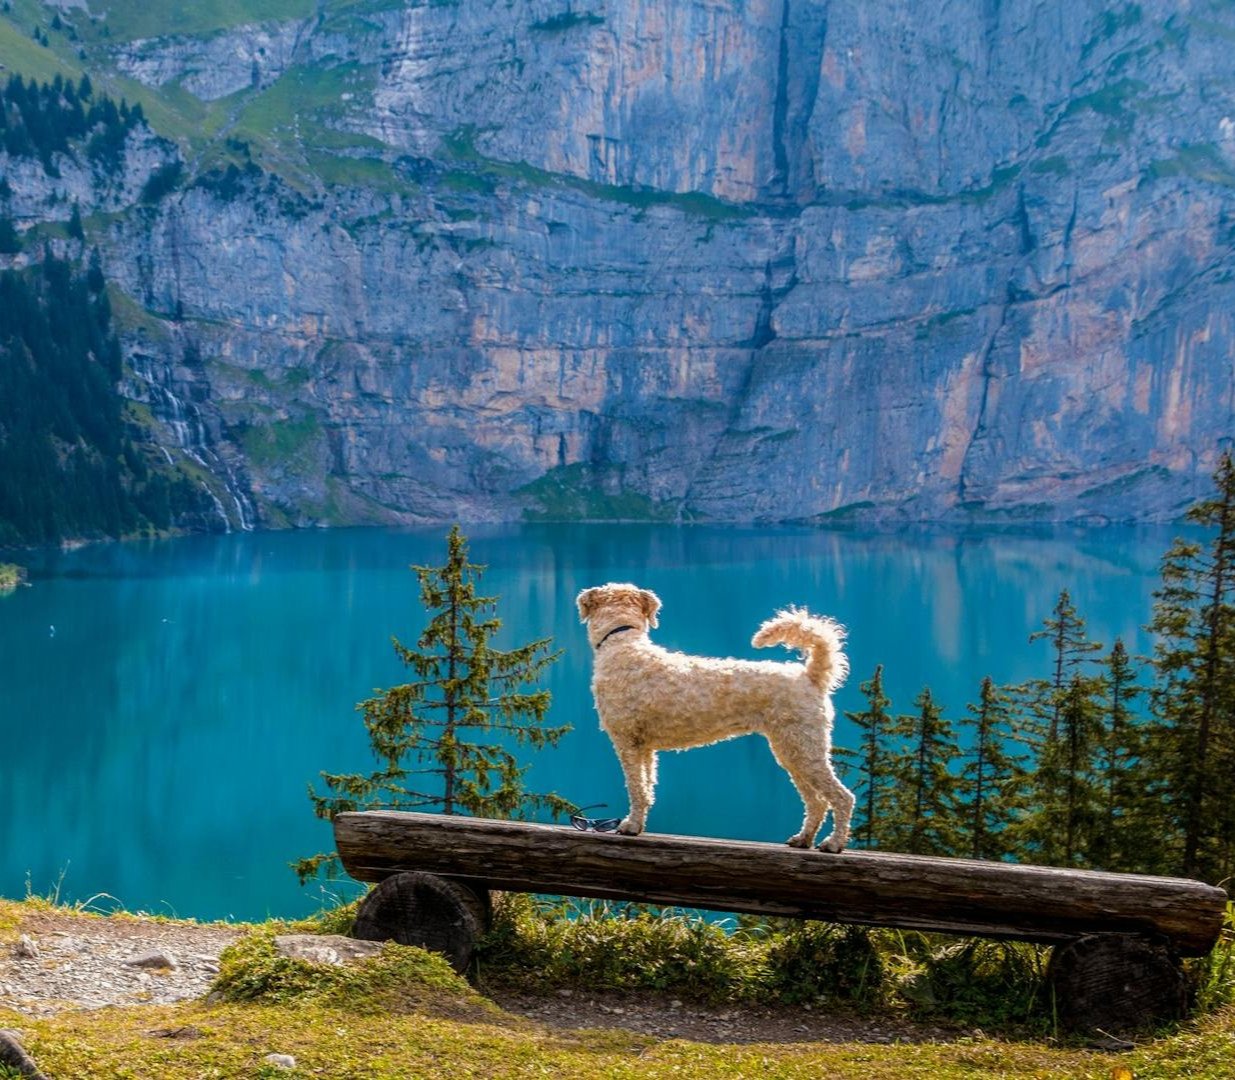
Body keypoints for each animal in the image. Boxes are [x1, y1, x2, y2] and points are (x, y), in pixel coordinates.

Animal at [575, 580, 849, 850]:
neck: (622, 643)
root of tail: (810, 676)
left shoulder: (626, 741)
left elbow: (635, 788)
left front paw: (630, 826)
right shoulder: (645, 747)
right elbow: (647, 788)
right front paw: (638, 824)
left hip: (803, 748)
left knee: (842, 797)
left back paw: (833, 843)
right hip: (791, 751)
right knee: (817, 800)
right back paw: (803, 839)